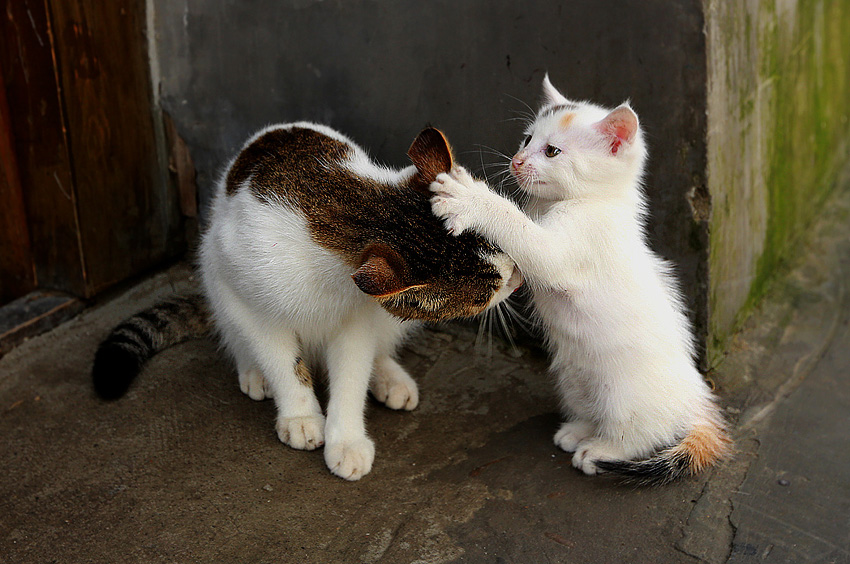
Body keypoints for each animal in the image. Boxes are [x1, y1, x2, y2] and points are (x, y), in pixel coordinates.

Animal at [91, 123, 516, 480]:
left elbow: (351, 374)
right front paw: (299, 414)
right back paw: (254, 372)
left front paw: (346, 440)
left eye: (497, 240)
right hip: (211, 265)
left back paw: (388, 376)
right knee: (234, 332)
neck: (354, 208)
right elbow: (282, 360)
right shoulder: (247, 300)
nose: (518, 276)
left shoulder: (358, 318)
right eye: (482, 294)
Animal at [430, 76, 728, 484]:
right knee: (591, 410)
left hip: (622, 393)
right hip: (573, 378)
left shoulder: (570, 248)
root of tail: (697, 402)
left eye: (552, 151)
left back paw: (600, 450)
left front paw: (471, 199)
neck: (588, 201)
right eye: (527, 139)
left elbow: (520, 230)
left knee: (638, 433)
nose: (517, 161)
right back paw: (578, 431)